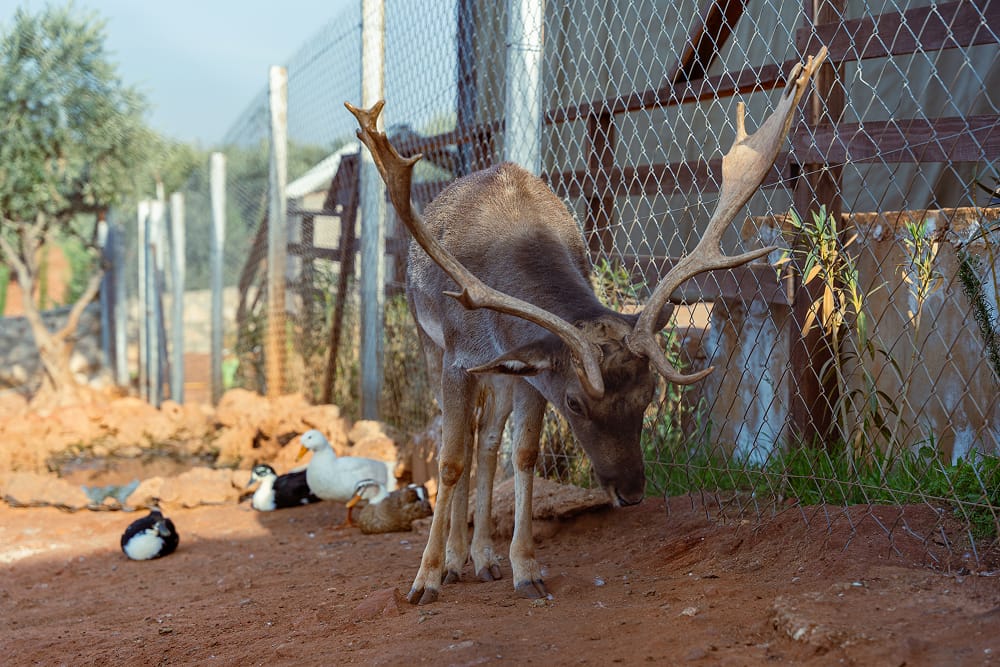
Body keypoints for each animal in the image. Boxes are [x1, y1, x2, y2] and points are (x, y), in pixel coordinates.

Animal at [347, 47, 826, 605]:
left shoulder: (530, 370)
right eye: (575, 403)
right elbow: (448, 461)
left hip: (502, 374)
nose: (632, 492)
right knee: (459, 438)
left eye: (649, 395)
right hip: (432, 346)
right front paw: (424, 579)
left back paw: (481, 557)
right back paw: (453, 559)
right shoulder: (459, 358)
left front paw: (526, 568)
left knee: (487, 442)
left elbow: (523, 454)